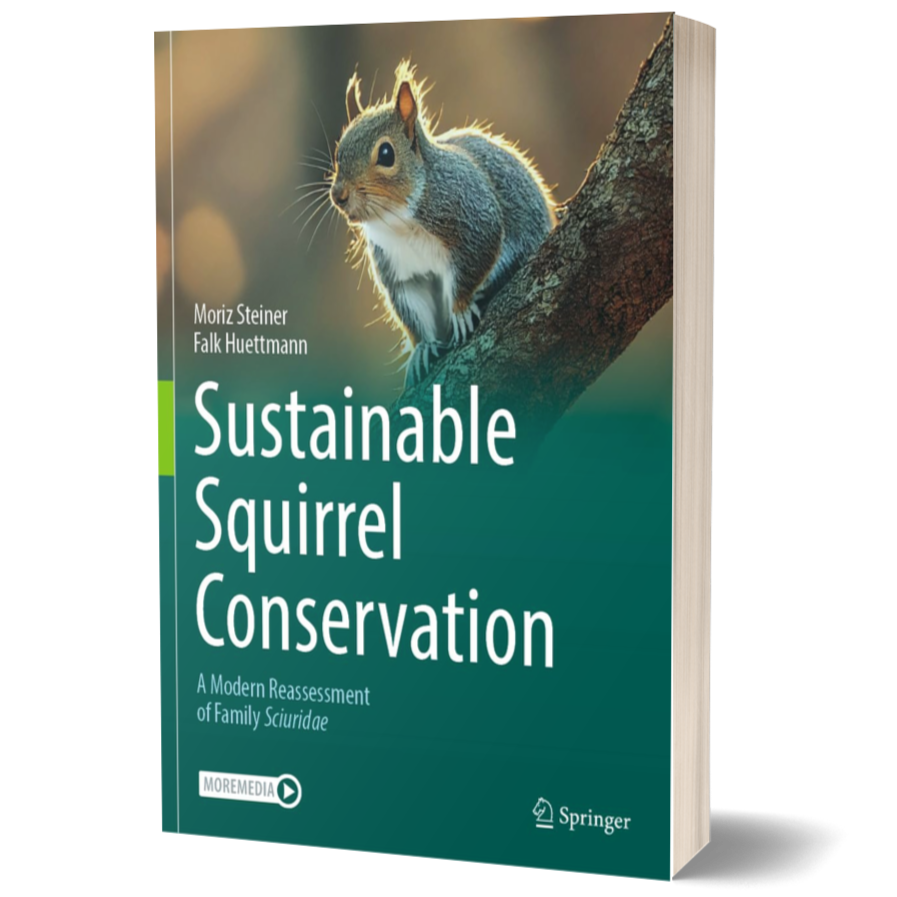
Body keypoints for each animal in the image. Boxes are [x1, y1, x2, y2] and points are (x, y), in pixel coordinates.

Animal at [328, 61, 557, 390]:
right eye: (339, 151)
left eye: (386, 154)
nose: (339, 196)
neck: (398, 221)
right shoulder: (401, 271)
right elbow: (413, 309)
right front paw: (422, 349)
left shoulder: (473, 216)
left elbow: (479, 255)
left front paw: (460, 309)